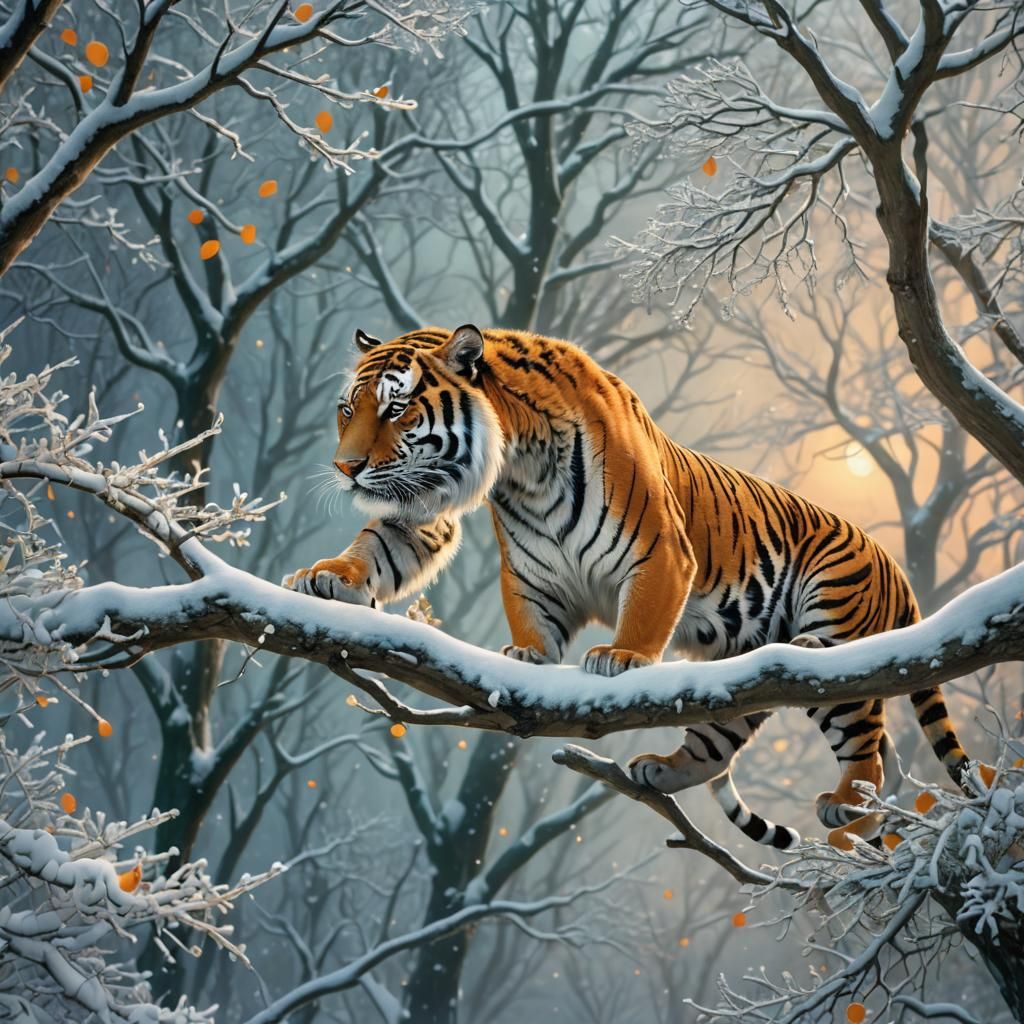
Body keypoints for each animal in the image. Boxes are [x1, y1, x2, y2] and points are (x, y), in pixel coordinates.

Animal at [283, 324, 979, 849]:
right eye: (347, 409)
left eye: (396, 409)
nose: (346, 467)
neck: (518, 468)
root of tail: (896, 569)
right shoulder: (505, 559)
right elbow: (386, 546)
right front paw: (328, 576)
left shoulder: (660, 553)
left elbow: (642, 615)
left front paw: (619, 657)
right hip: (736, 688)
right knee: (718, 747)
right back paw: (659, 769)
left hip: (837, 632)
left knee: (867, 751)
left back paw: (844, 818)